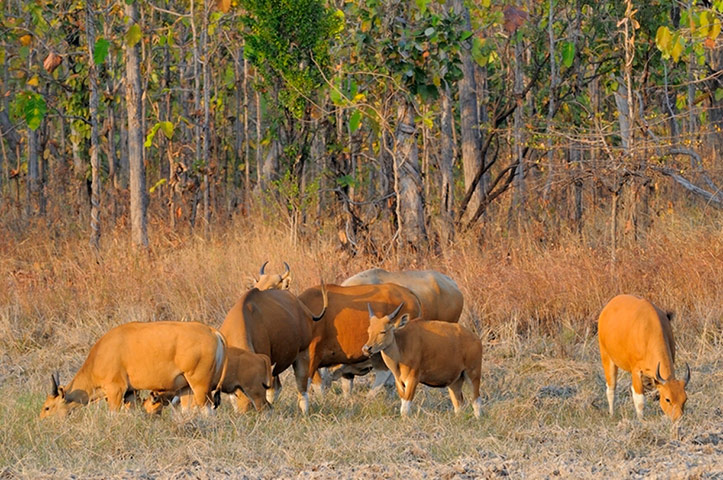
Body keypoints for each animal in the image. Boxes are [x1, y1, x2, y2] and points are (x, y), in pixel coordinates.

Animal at [40, 322, 226, 420]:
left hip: (200, 386)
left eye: (47, 407)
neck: (100, 354)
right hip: (187, 387)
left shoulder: (115, 390)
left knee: (207, 410)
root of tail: (213, 332)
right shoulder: (130, 393)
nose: (41, 421)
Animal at [596, 294, 692, 422]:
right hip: (606, 357)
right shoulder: (636, 370)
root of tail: (608, 307)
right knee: (611, 388)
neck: (648, 331)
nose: (677, 418)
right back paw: (611, 413)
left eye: (685, 399)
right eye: (667, 399)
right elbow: (639, 399)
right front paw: (641, 420)